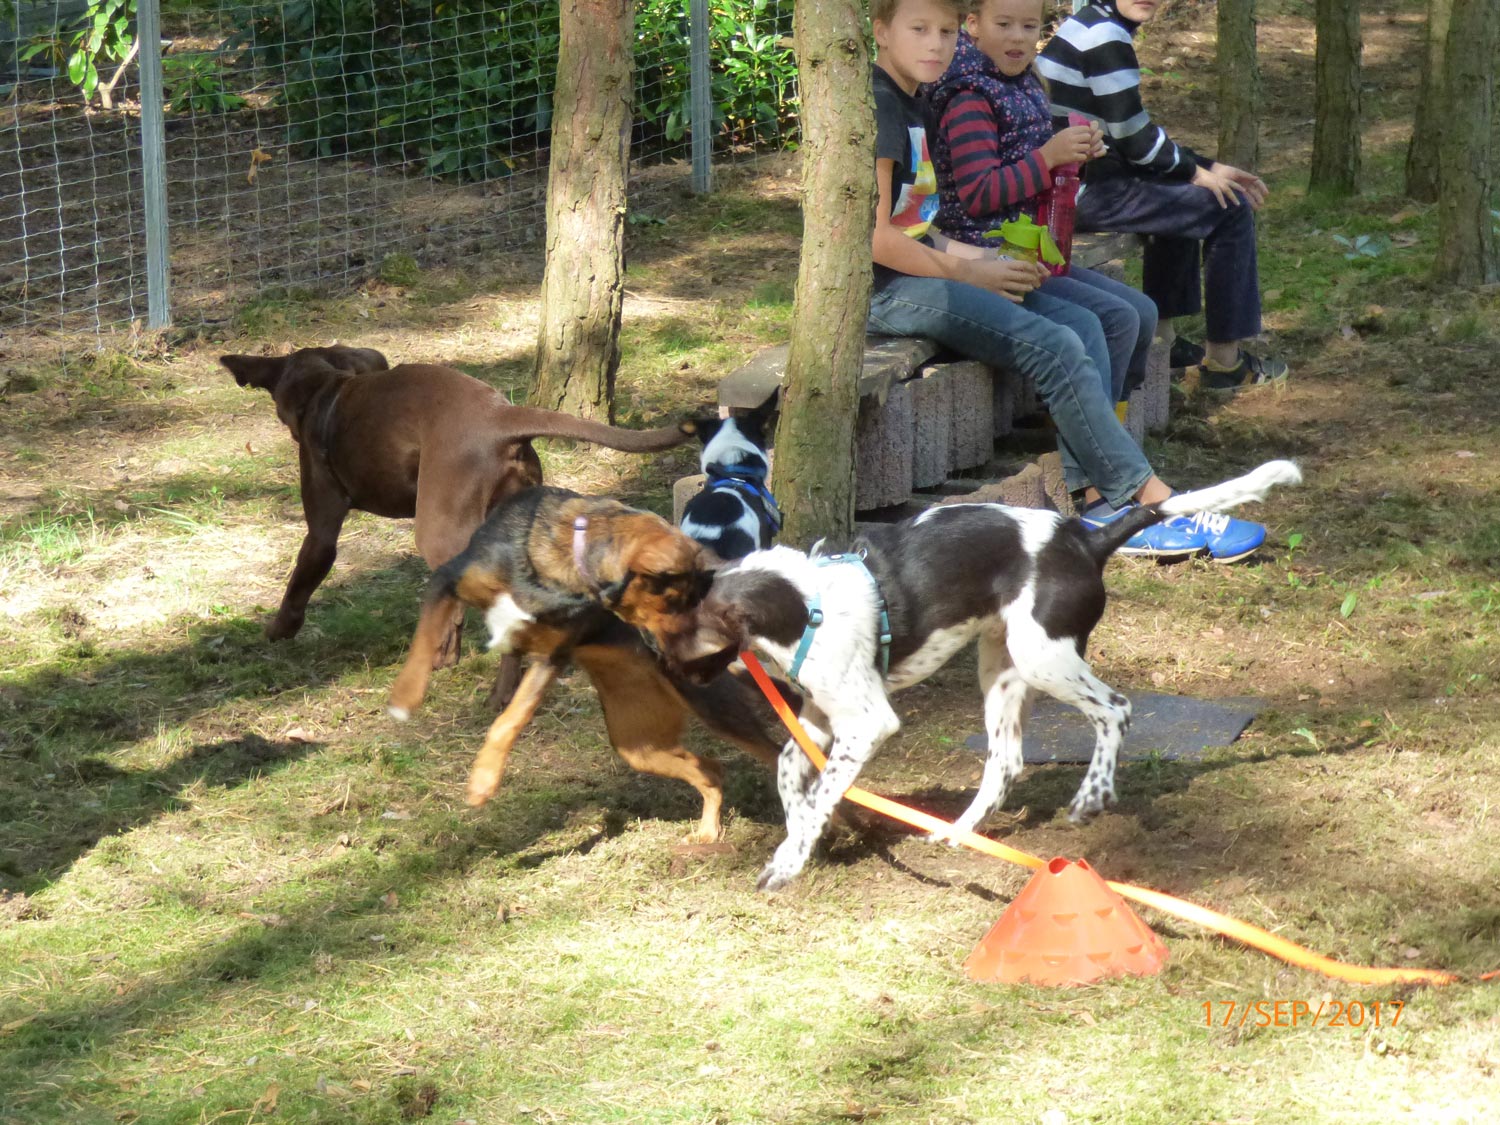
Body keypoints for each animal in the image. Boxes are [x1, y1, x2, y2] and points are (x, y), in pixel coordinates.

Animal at [220, 343, 690, 687]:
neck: (328, 390)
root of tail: (502, 416)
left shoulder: (321, 533)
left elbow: (299, 583)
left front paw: (278, 630)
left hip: (437, 531)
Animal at [657, 459, 1302, 888]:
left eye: (674, 630)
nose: (663, 669)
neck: (804, 602)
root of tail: (1087, 539)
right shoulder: (819, 715)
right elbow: (793, 779)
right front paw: (804, 840)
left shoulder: (867, 722)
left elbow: (815, 795)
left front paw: (790, 859)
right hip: (1002, 670)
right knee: (1007, 762)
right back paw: (957, 831)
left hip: (1044, 656)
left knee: (1115, 710)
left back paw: (1091, 795)